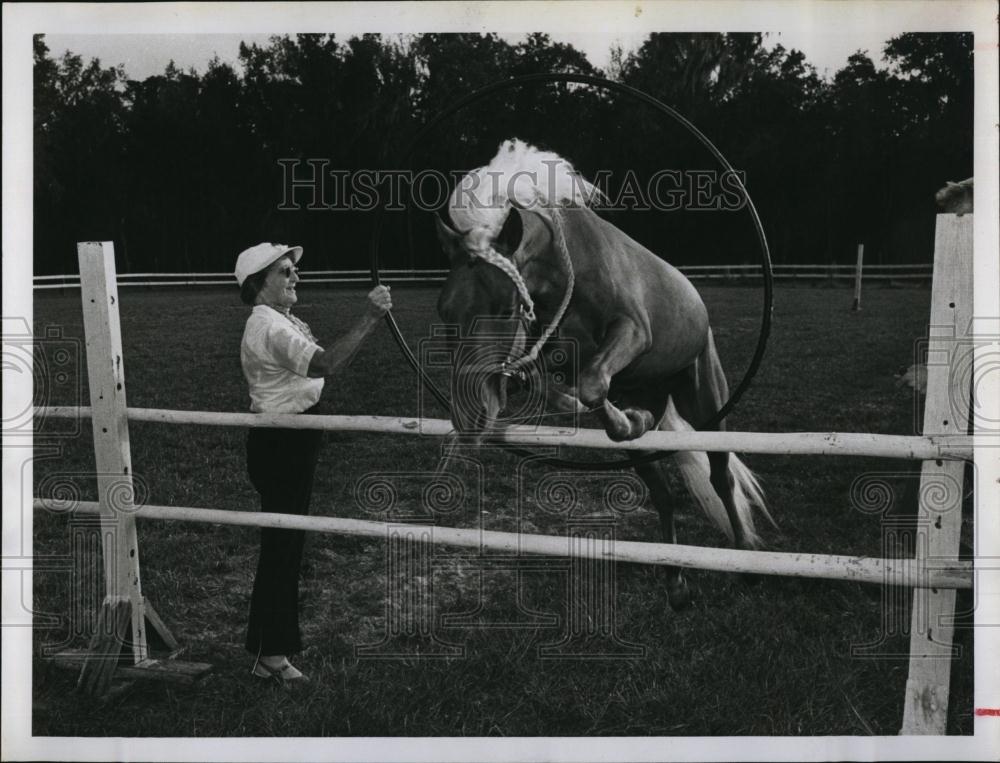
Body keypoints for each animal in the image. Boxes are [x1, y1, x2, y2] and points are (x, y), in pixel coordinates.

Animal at [432, 140, 772, 612]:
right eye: (444, 313)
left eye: (504, 308)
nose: (468, 417)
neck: (563, 270)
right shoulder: (555, 353)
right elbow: (558, 385)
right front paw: (612, 414)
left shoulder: (633, 330)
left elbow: (593, 383)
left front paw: (619, 417)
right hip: (649, 417)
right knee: (662, 493)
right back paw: (675, 580)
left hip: (706, 400)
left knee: (721, 478)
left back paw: (746, 561)